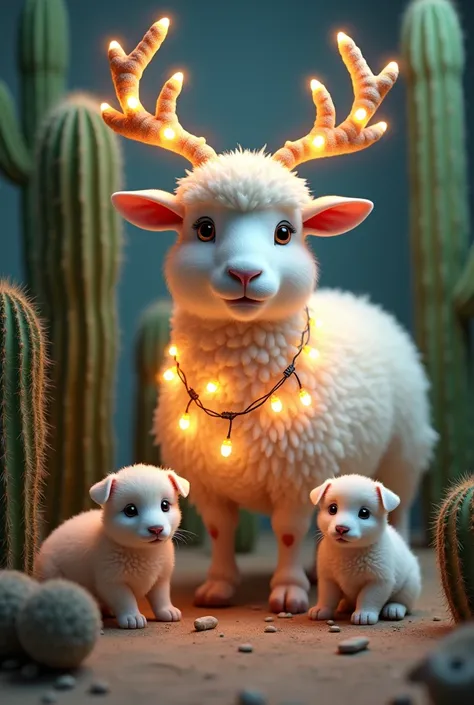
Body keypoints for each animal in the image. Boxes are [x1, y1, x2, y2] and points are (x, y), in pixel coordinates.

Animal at [34, 464, 190, 628]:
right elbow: (125, 599)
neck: (143, 551)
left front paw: (168, 611)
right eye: (130, 510)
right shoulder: (112, 582)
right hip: (51, 573)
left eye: (165, 505)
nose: (156, 529)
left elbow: (161, 596)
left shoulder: (161, 578)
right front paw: (132, 617)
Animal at [310, 470, 420, 624]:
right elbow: (327, 596)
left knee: (403, 602)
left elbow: (368, 597)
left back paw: (394, 609)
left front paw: (364, 614)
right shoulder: (328, 578)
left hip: (410, 585)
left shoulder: (379, 580)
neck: (349, 552)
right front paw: (321, 609)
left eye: (364, 513)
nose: (341, 528)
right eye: (332, 509)